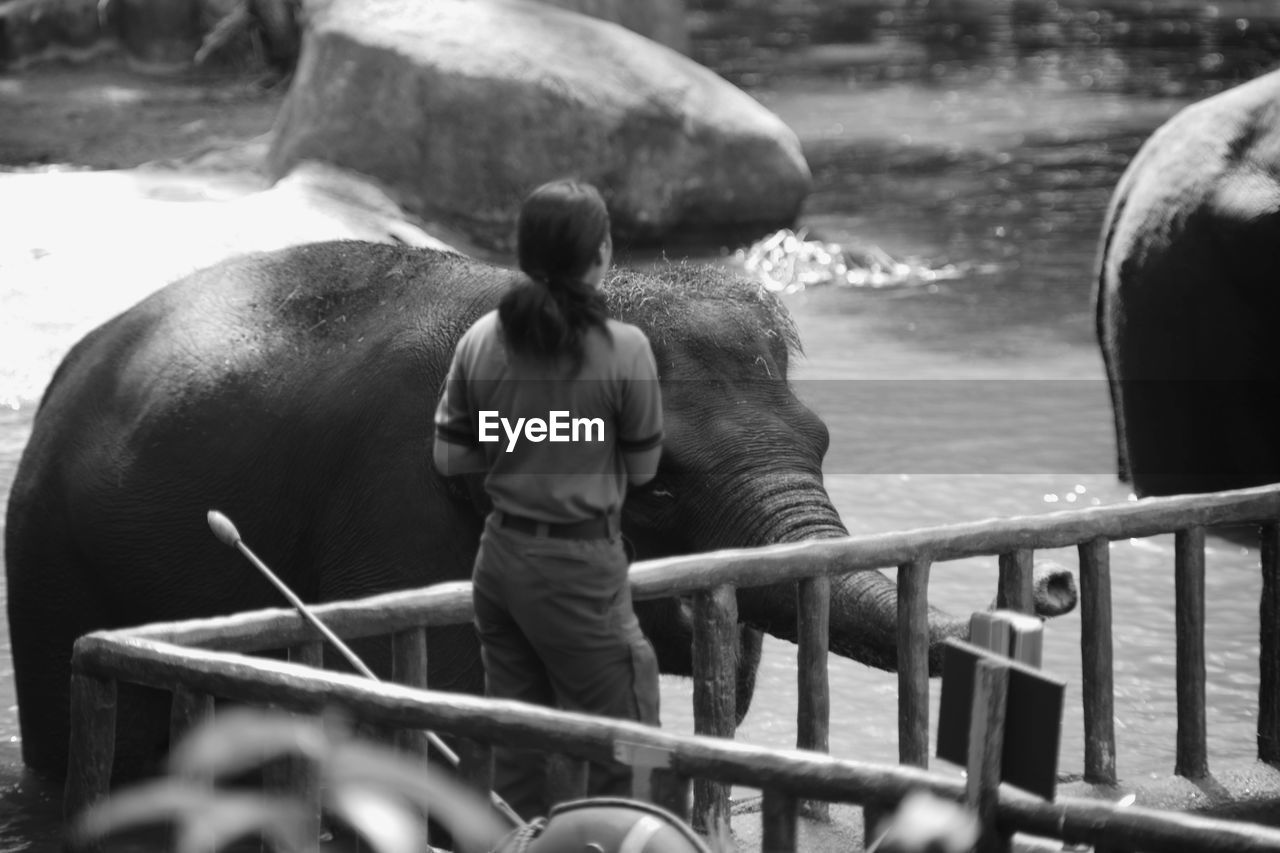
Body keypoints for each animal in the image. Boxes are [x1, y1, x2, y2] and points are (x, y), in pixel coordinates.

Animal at [5, 240, 1075, 778]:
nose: (1055, 587)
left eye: (820, 443)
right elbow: (452, 702)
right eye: (662, 486)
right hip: (51, 556)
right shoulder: (399, 509)